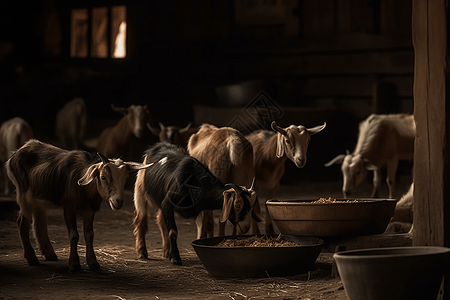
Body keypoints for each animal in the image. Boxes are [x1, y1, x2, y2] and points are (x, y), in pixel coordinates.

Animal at [5, 139, 153, 270]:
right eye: (103, 177)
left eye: (126, 178)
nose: (118, 201)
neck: (85, 189)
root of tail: (17, 152)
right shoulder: (69, 208)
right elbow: (74, 235)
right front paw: (74, 264)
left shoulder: (89, 211)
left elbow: (89, 235)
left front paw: (93, 263)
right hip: (24, 195)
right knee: (22, 223)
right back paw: (32, 258)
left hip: (38, 198)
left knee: (39, 222)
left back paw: (49, 254)